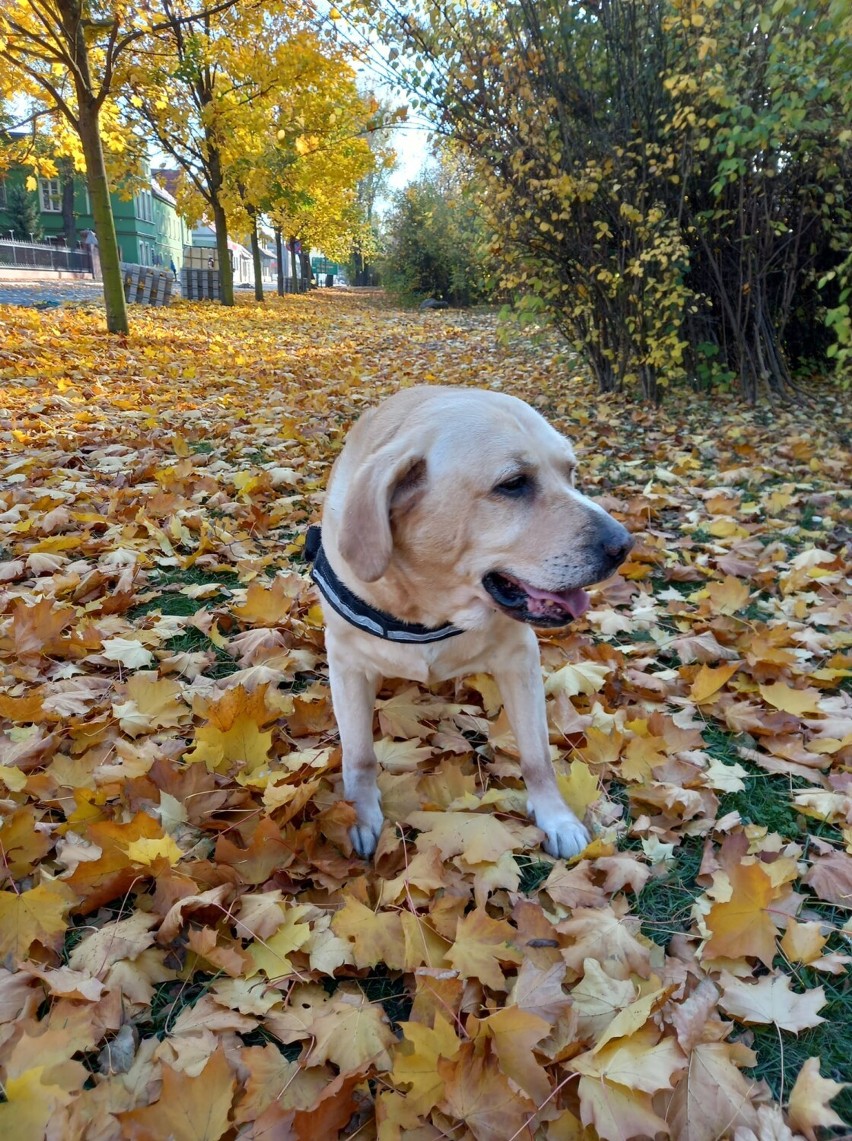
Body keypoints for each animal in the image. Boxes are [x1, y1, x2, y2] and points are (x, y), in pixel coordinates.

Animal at [307, 387, 634, 858]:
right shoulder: (347, 663)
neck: (431, 607)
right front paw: (360, 814)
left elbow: (537, 757)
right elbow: (359, 754)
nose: (625, 545)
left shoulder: (520, 659)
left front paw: (556, 817)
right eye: (513, 484)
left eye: (570, 471)